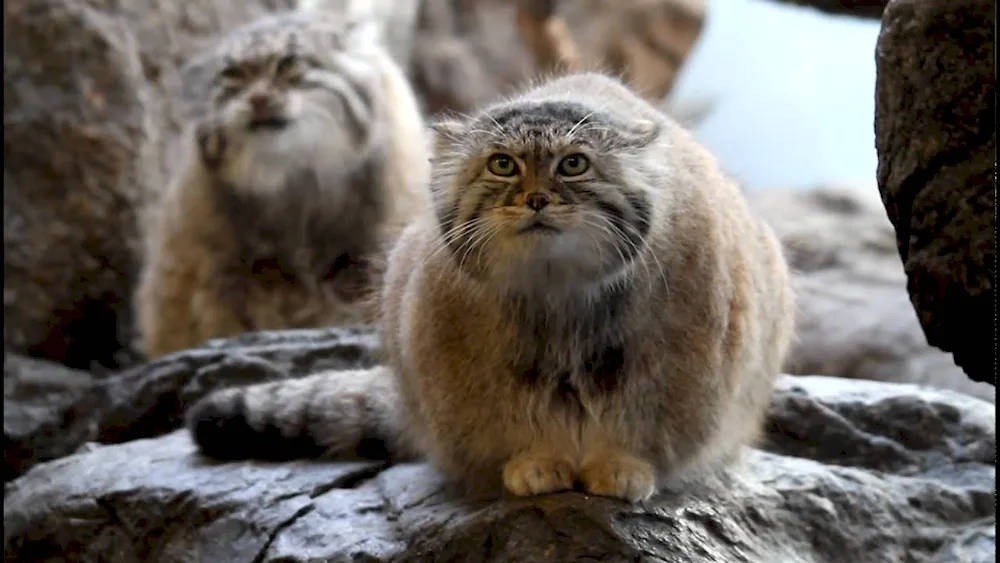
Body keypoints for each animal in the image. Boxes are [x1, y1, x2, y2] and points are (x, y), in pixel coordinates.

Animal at [186, 71, 796, 506]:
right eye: (503, 165)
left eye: (574, 164)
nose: (536, 199)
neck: (560, 299)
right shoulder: (472, 374)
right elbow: (516, 425)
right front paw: (535, 462)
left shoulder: (677, 369)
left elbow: (640, 424)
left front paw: (621, 465)